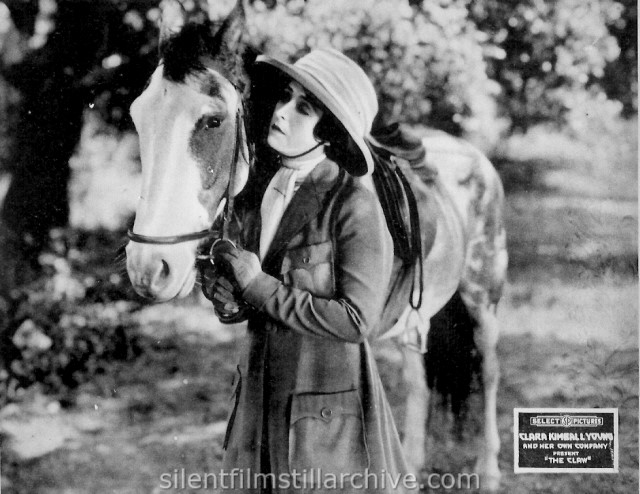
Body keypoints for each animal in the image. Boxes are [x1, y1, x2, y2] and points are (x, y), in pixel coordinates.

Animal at [124, 2, 504, 490]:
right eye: (139, 116)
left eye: (212, 120)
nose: (149, 266)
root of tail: (469, 155)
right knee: (418, 382)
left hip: (484, 297)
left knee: (489, 371)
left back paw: (488, 468)